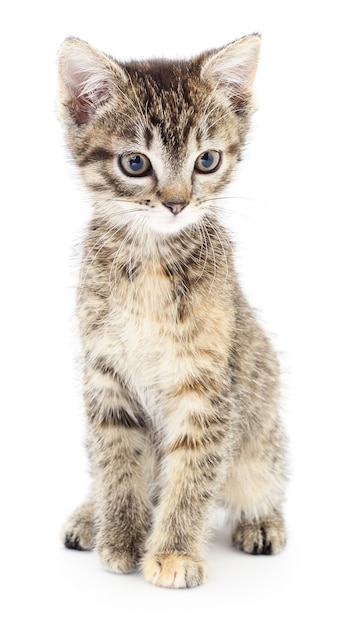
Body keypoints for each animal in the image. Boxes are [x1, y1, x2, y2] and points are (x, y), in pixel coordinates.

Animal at [57, 36, 286, 588]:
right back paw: (91, 516)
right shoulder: (105, 376)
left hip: (260, 423)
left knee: (260, 472)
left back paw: (261, 520)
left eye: (207, 160)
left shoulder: (208, 388)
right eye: (135, 165)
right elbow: (117, 462)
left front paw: (174, 552)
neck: (150, 261)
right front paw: (120, 537)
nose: (178, 204)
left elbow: (192, 475)